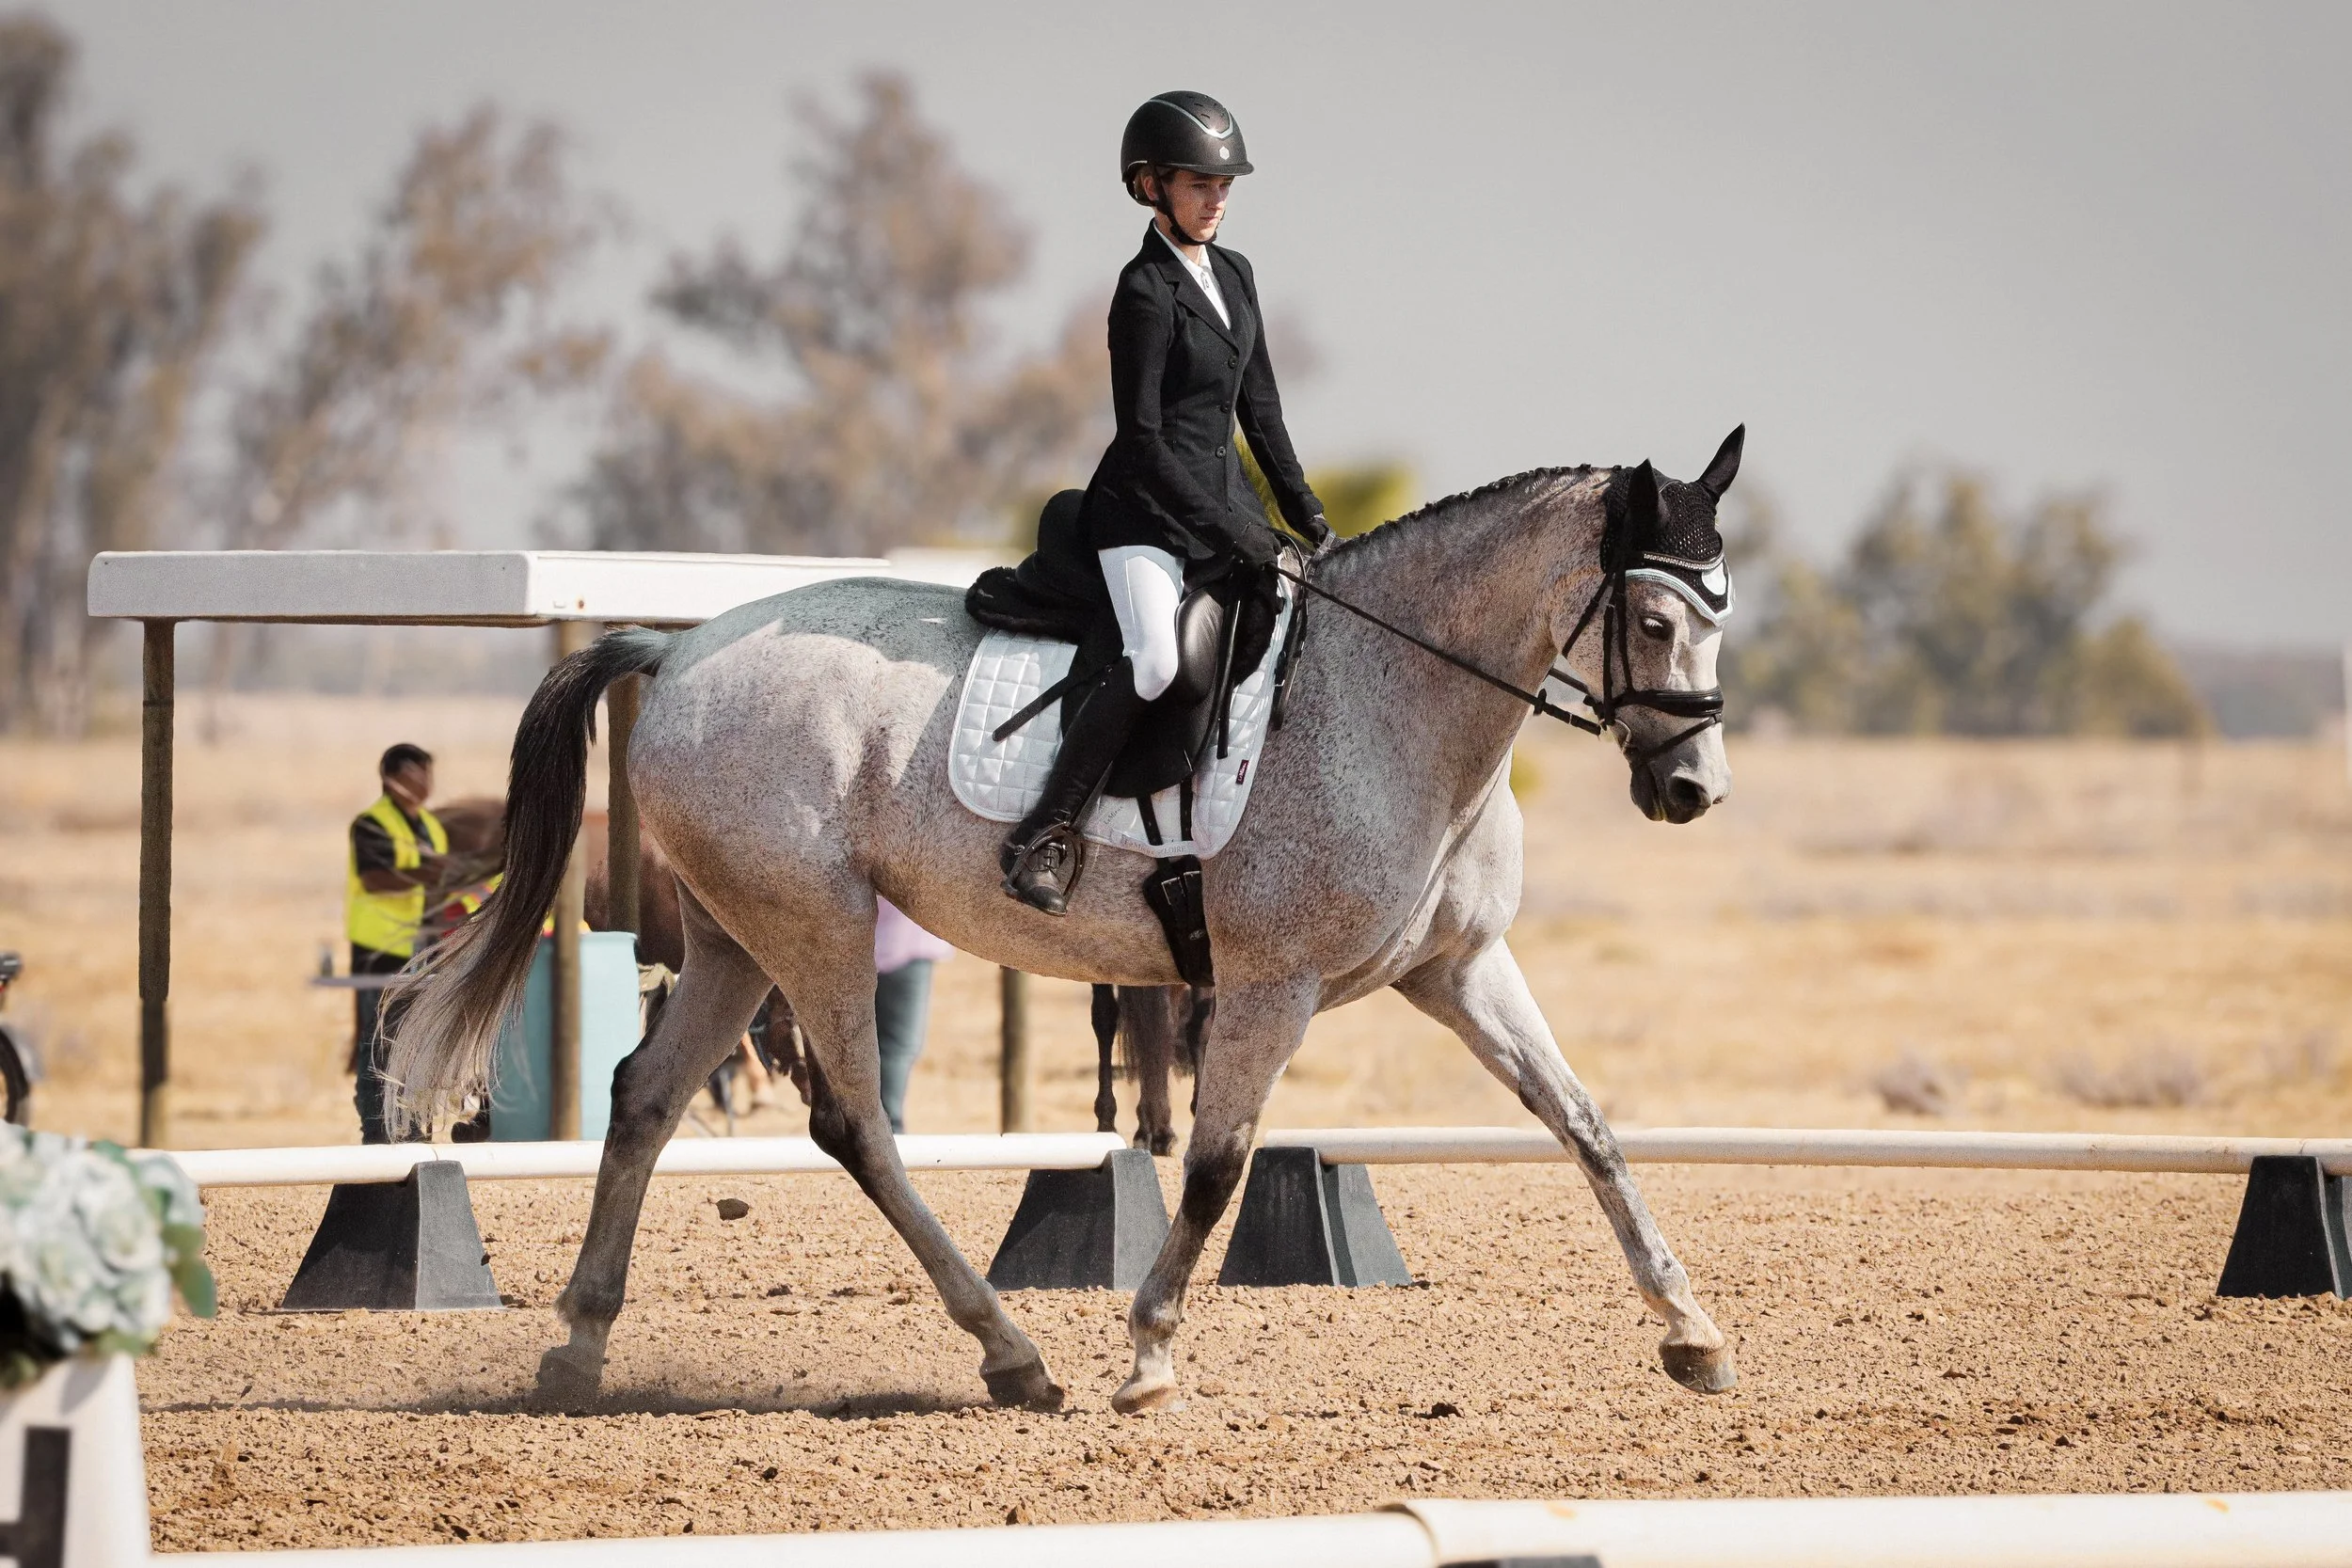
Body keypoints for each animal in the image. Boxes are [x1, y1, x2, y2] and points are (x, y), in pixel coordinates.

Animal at [386, 434, 1745, 1414]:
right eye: (1656, 621)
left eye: (1723, 614)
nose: (1693, 790)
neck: (1392, 698)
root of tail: (674, 655)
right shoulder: (1271, 984)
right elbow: (1212, 1165)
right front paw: (1147, 1356)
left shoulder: (1461, 969)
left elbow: (1586, 1123)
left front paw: (1692, 1332)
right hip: (816, 920)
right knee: (853, 1122)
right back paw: (1012, 1352)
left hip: (732, 936)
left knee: (649, 1097)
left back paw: (579, 1347)